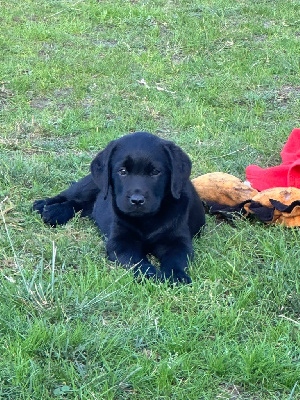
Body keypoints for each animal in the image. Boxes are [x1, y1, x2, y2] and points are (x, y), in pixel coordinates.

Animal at [33, 133, 206, 282]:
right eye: (122, 171)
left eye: (155, 172)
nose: (137, 200)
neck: (146, 220)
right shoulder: (120, 241)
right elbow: (136, 260)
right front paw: (149, 274)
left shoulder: (177, 240)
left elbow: (176, 259)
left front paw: (176, 276)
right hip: (90, 184)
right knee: (71, 197)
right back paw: (47, 208)